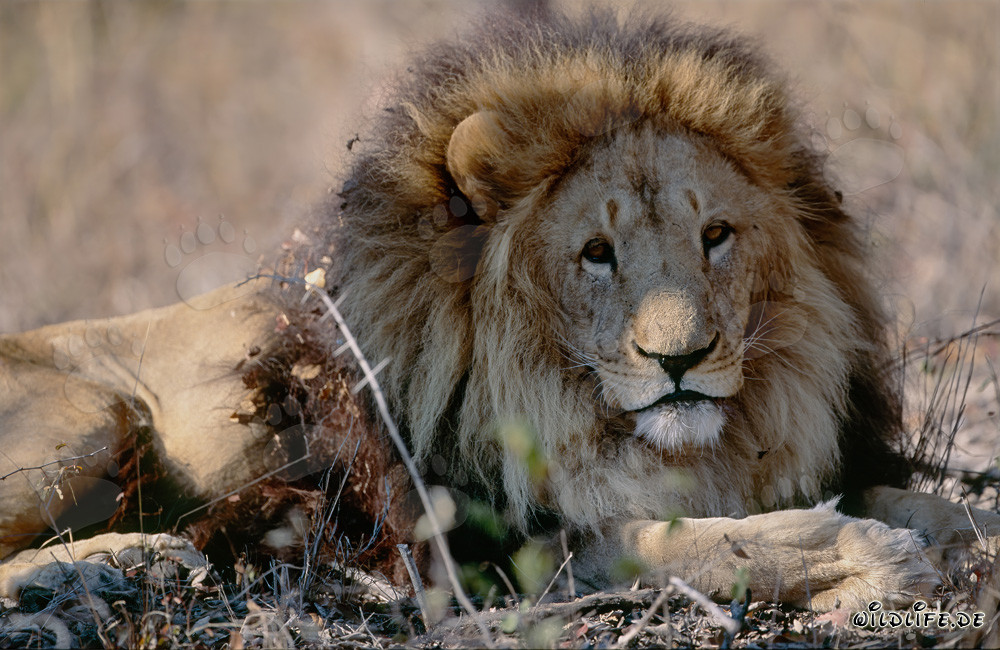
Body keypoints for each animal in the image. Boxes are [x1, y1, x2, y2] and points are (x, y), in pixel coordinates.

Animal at [1, 9, 998, 613]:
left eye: (715, 235)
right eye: (595, 253)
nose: (680, 359)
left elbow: (934, 507)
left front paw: (950, 540)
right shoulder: (497, 546)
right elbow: (699, 547)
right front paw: (877, 560)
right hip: (86, 418)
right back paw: (132, 558)